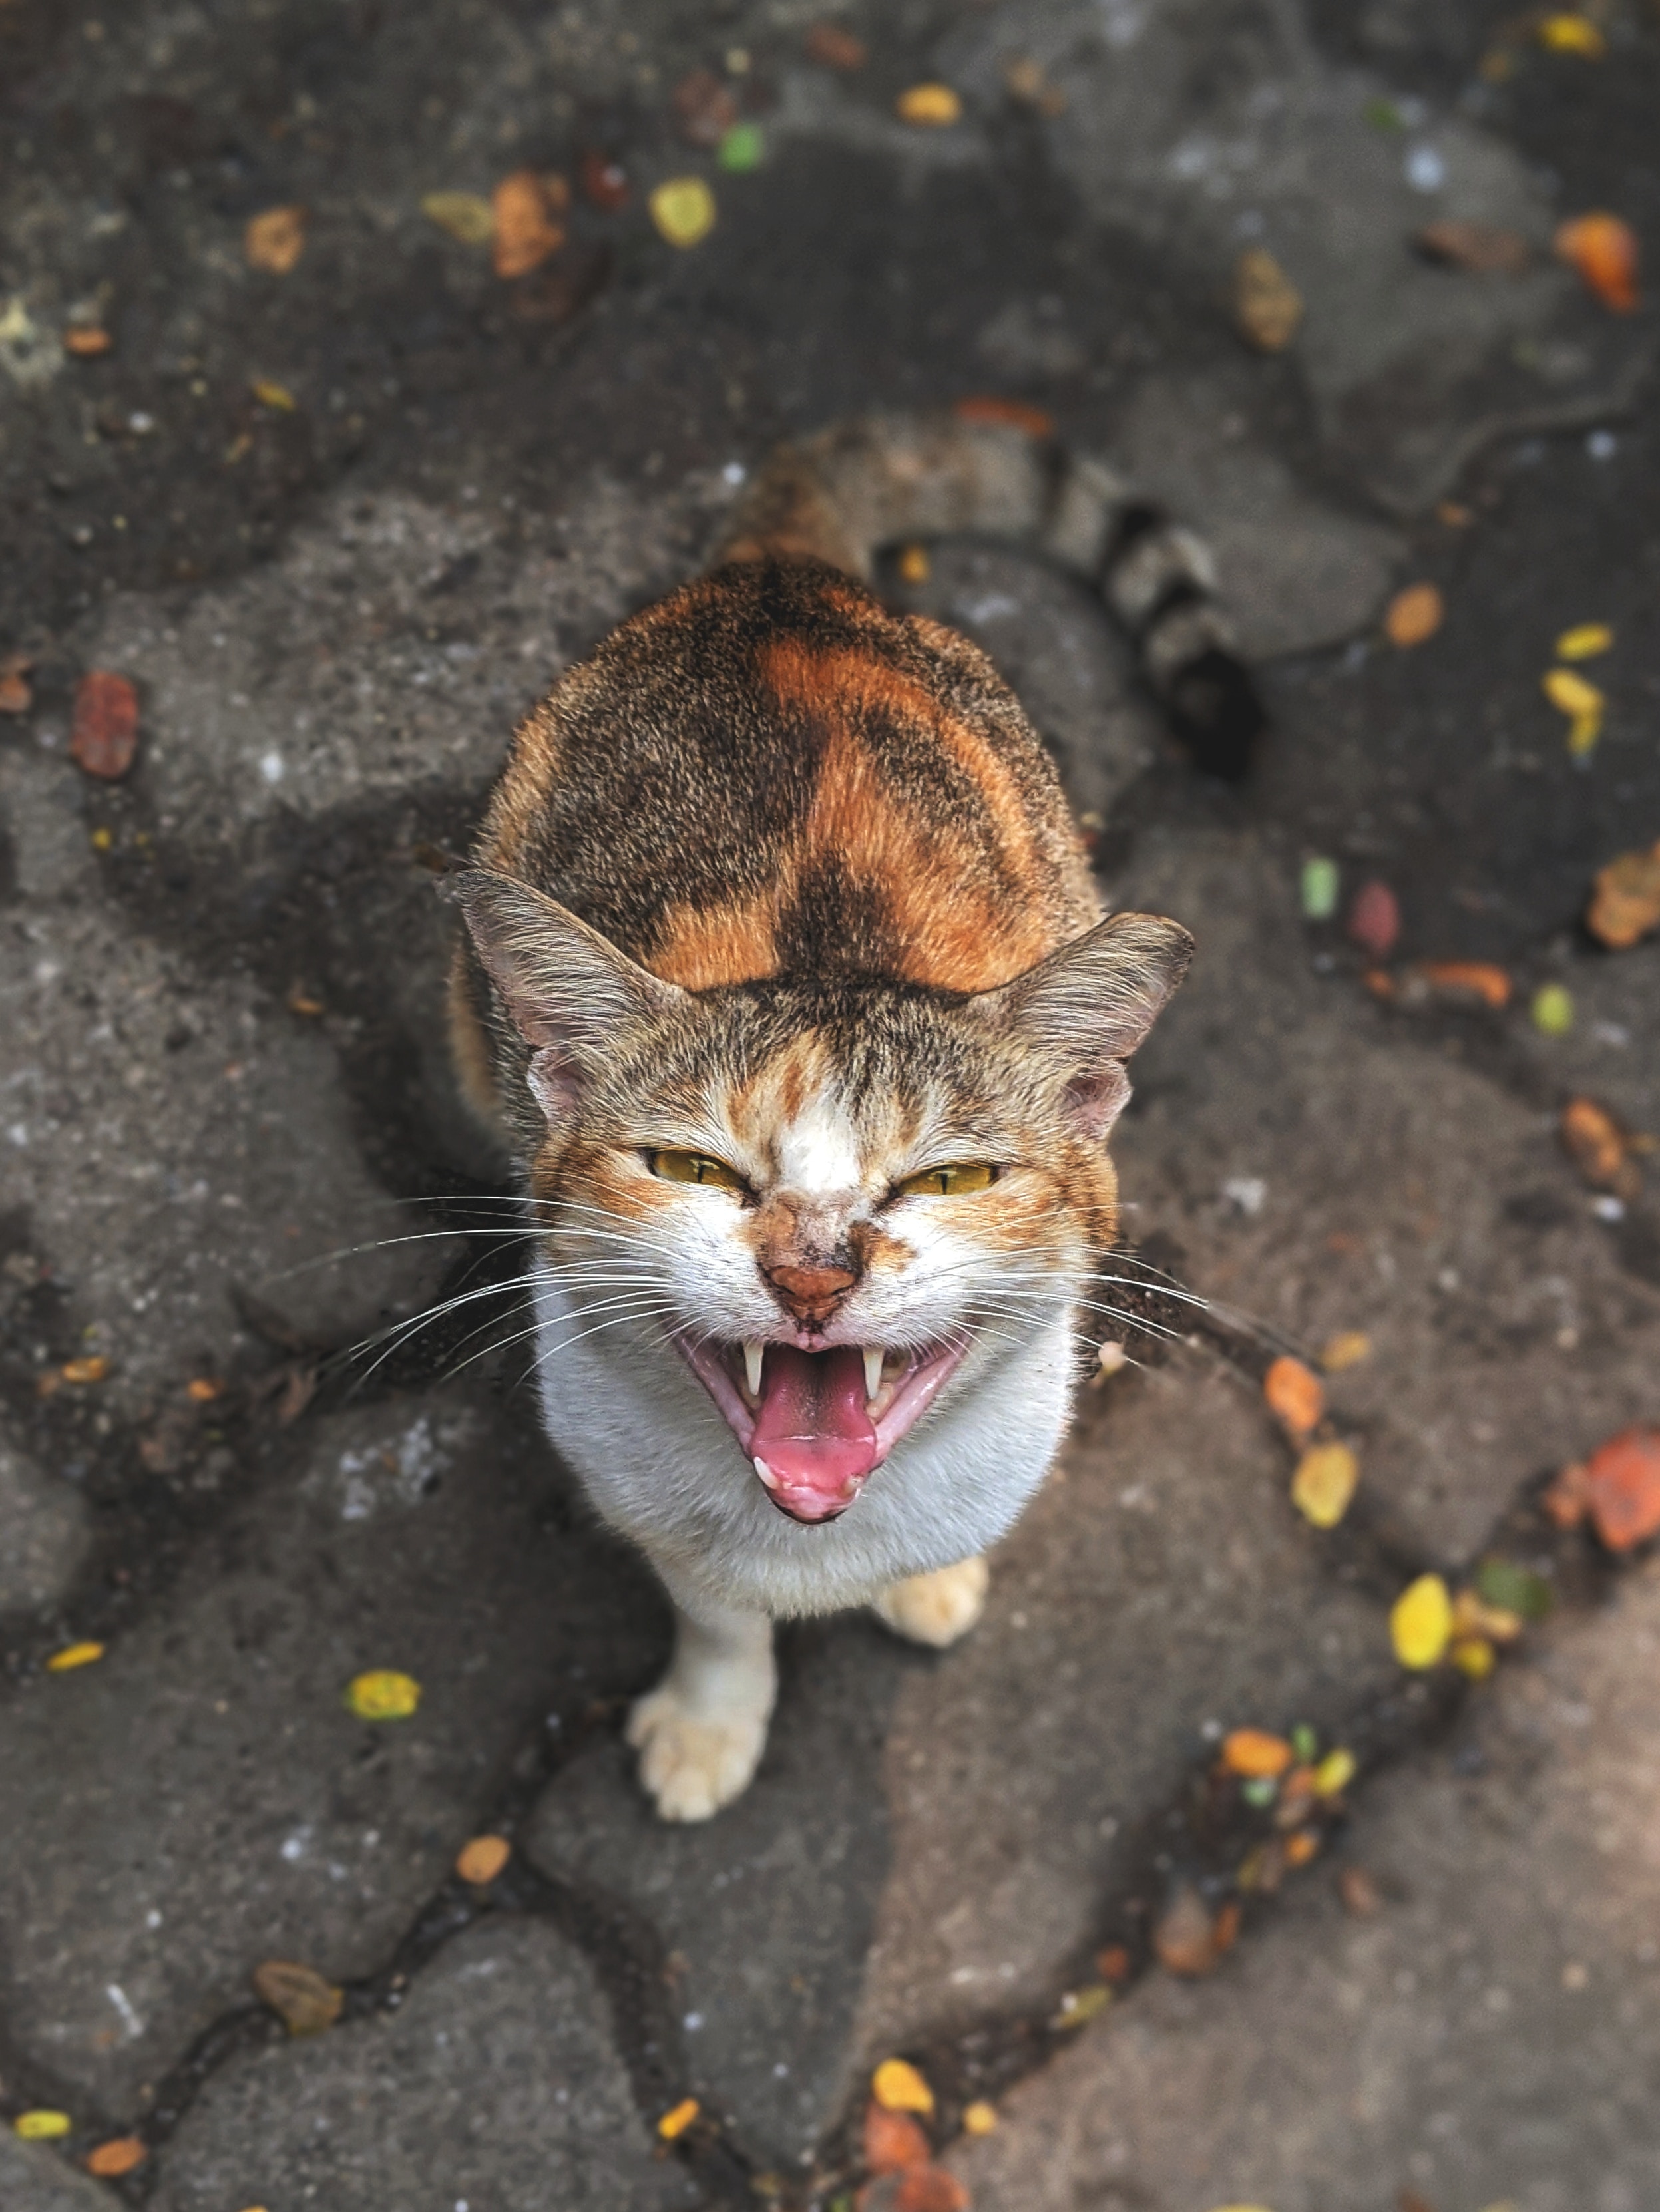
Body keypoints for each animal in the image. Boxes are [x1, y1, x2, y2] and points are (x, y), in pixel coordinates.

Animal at [445, 407, 1257, 1822]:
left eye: (948, 1180)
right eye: (688, 1166)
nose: (812, 1272)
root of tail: (778, 582)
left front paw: (928, 1583)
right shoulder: (628, 1477)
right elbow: (713, 1611)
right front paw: (710, 1722)